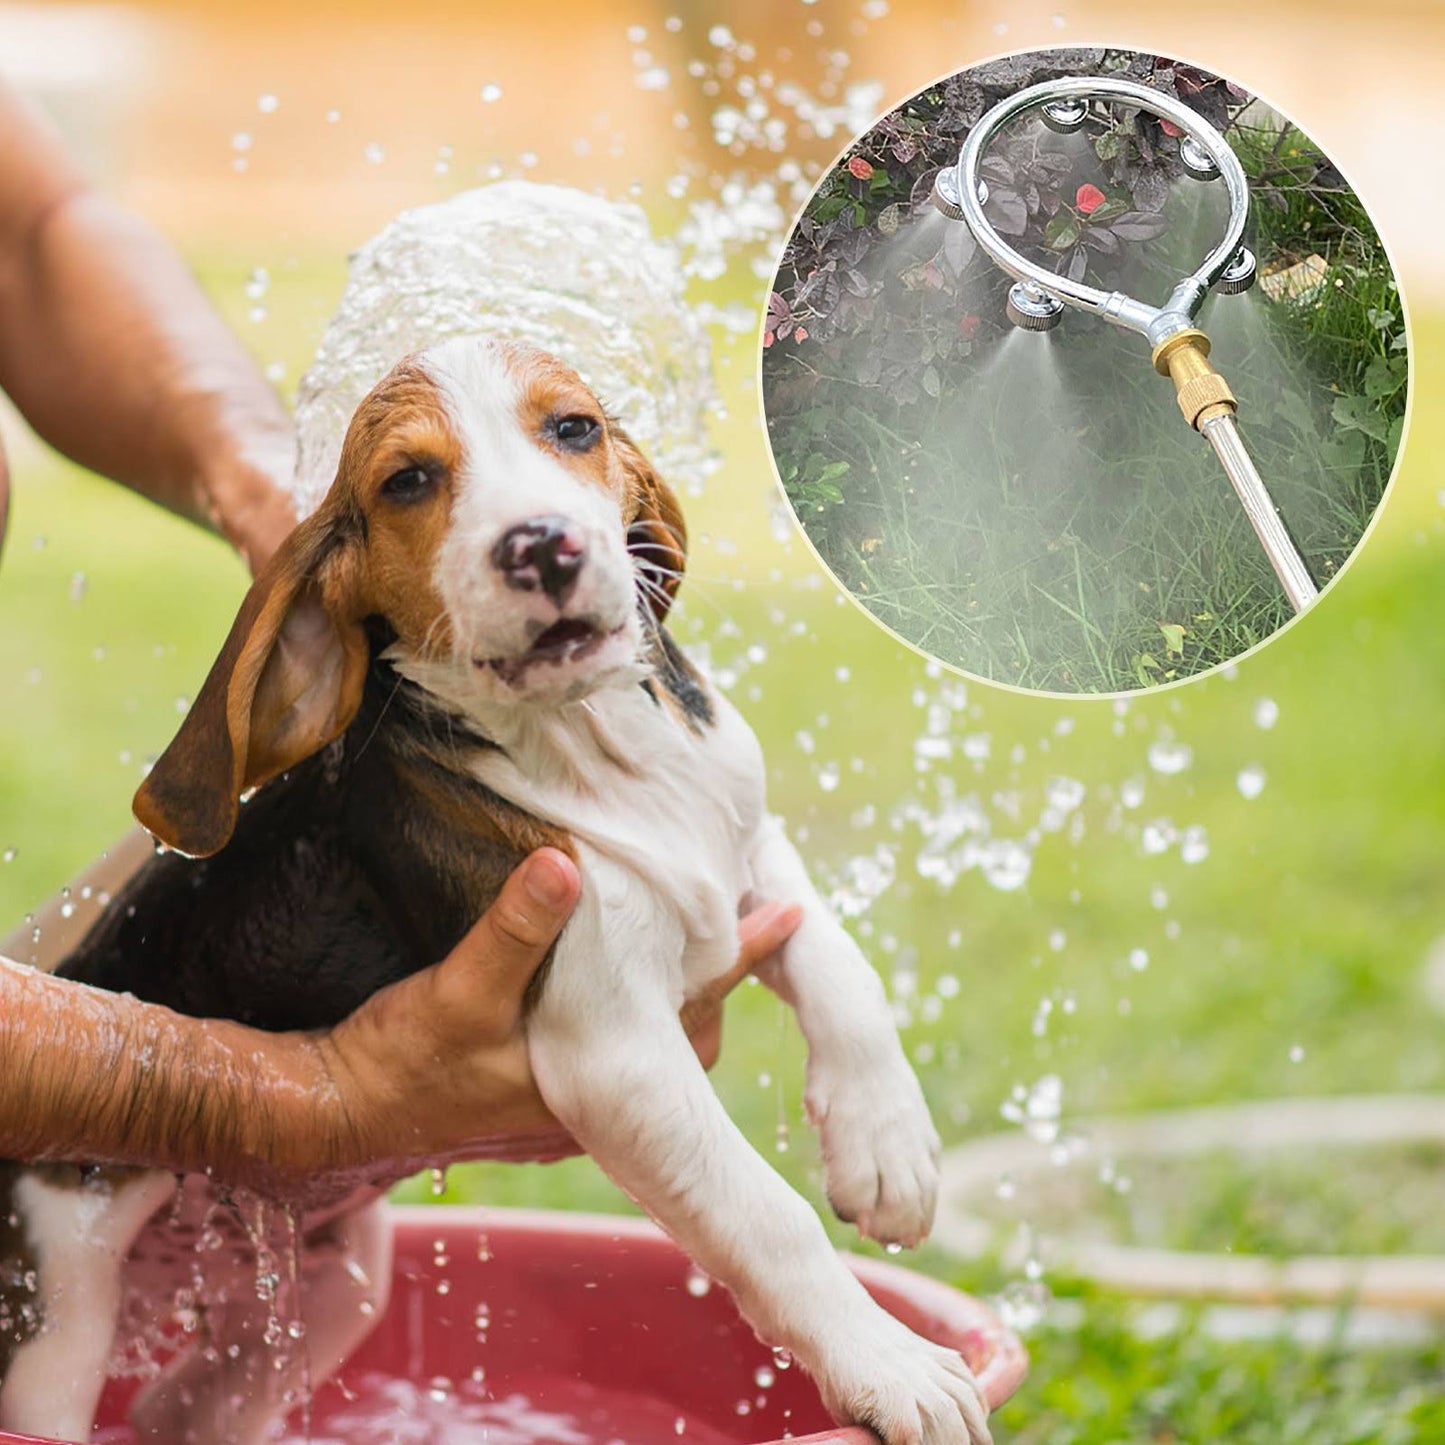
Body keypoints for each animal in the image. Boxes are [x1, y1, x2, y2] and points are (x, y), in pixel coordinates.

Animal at [0, 335, 988, 1445]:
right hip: (58, 1302)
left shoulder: (748, 847)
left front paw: (887, 1149)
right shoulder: (615, 1048)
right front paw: (889, 1362)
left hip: (323, 1294)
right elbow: (765, 1212)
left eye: (574, 428)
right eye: (407, 481)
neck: (592, 744)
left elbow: (839, 962)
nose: (542, 546)